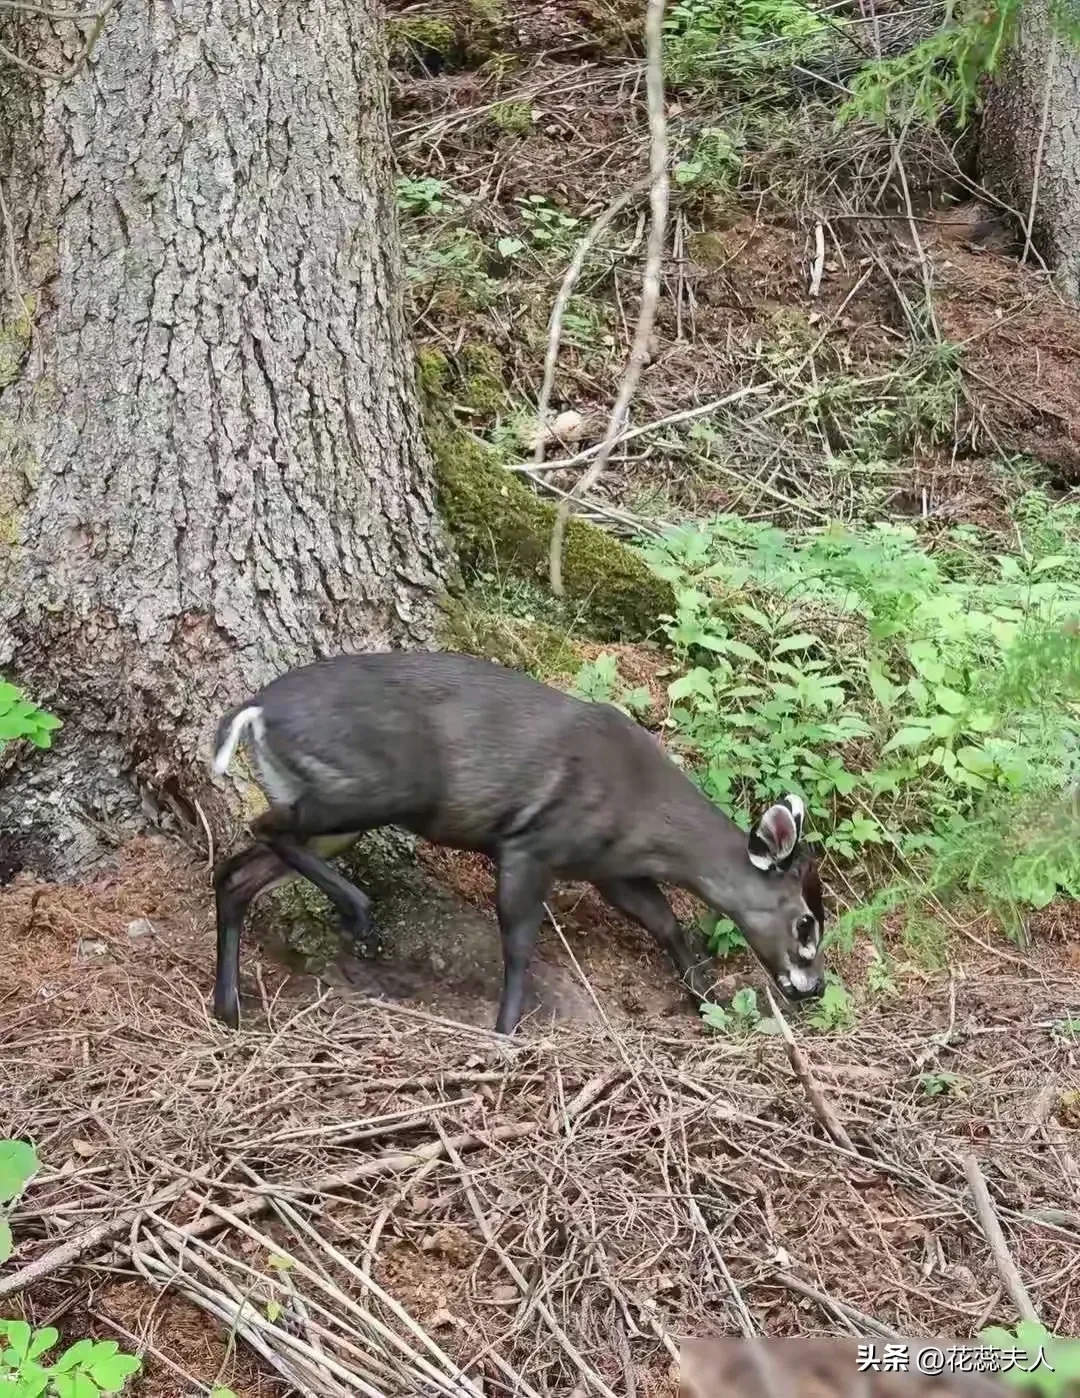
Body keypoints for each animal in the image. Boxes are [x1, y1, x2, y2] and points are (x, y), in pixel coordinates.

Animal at [208, 648, 827, 1034]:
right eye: (806, 924)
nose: (815, 988)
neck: (641, 816)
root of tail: (254, 710)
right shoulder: (530, 843)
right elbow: (519, 942)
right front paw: (506, 1031)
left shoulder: (610, 870)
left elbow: (664, 922)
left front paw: (709, 1002)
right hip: (373, 786)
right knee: (263, 827)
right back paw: (357, 912)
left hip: (335, 813)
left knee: (236, 872)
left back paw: (229, 1009)